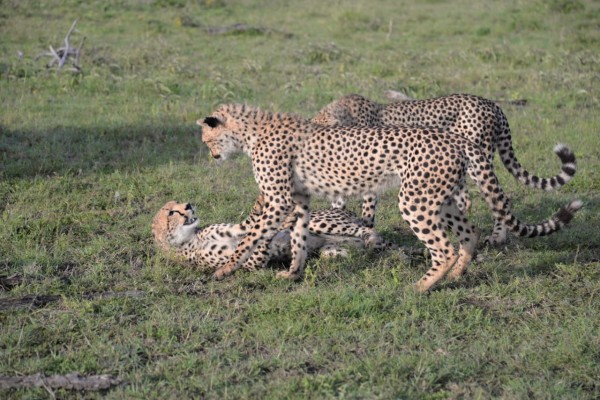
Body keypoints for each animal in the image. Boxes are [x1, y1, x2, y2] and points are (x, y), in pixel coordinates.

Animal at [152, 195, 392, 270]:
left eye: (180, 202)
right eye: (172, 212)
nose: (189, 205)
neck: (189, 238)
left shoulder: (241, 228)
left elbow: (251, 223)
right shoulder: (253, 262)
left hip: (322, 223)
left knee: (367, 230)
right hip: (330, 244)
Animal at [312, 94, 580, 244]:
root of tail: (492, 104)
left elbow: (366, 211)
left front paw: (364, 227)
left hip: (477, 159)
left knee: (497, 199)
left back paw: (496, 237)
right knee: (467, 200)